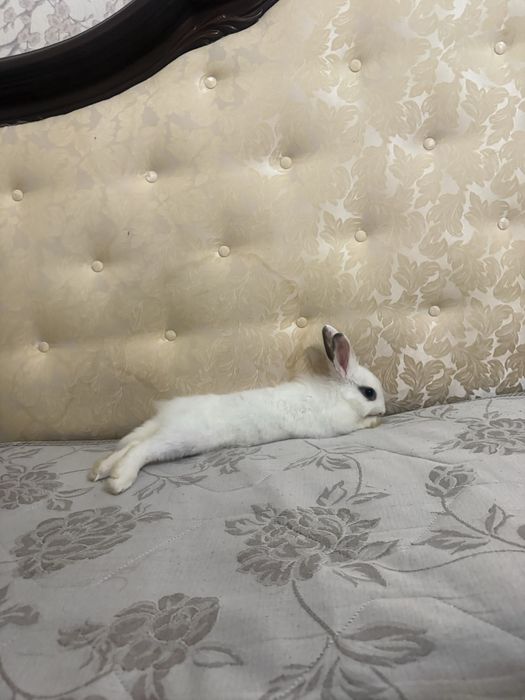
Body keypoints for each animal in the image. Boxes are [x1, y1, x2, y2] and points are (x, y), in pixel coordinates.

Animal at [88, 324, 386, 494]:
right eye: (369, 393)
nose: (383, 411)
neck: (340, 394)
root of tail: (167, 415)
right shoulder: (339, 426)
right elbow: (357, 425)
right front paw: (374, 422)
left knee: (129, 445)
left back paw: (99, 471)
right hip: (181, 438)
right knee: (141, 449)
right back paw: (119, 481)